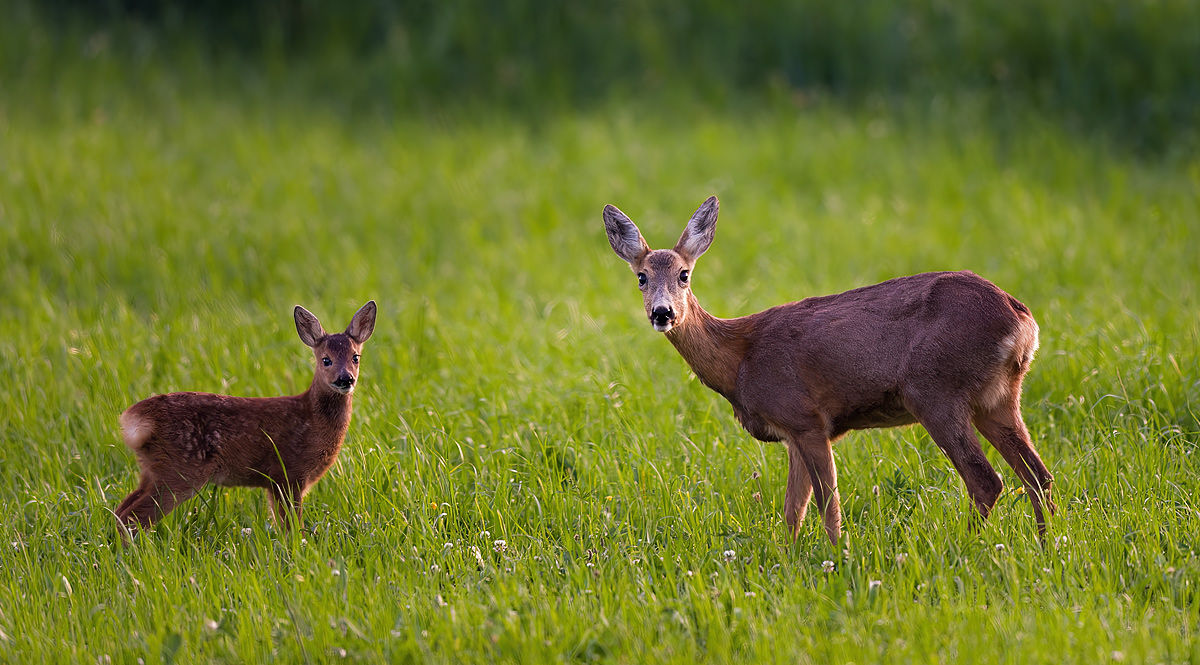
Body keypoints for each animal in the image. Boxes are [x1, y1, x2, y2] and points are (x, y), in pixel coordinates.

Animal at [113, 300, 374, 532]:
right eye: (326, 360)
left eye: (355, 357)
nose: (345, 379)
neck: (312, 419)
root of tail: (135, 418)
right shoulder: (287, 472)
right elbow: (291, 527)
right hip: (179, 469)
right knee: (133, 517)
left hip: (152, 468)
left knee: (120, 510)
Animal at [604, 196, 1056, 542]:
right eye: (642, 277)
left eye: (684, 274)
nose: (663, 313)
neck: (740, 360)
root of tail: (1023, 321)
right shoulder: (791, 433)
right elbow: (793, 510)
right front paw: (788, 557)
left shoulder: (806, 417)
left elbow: (827, 503)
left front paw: (837, 555)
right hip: (997, 397)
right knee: (1038, 475)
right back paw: (1048, 545)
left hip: (936, 390)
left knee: (987, 479)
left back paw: (963, 546)